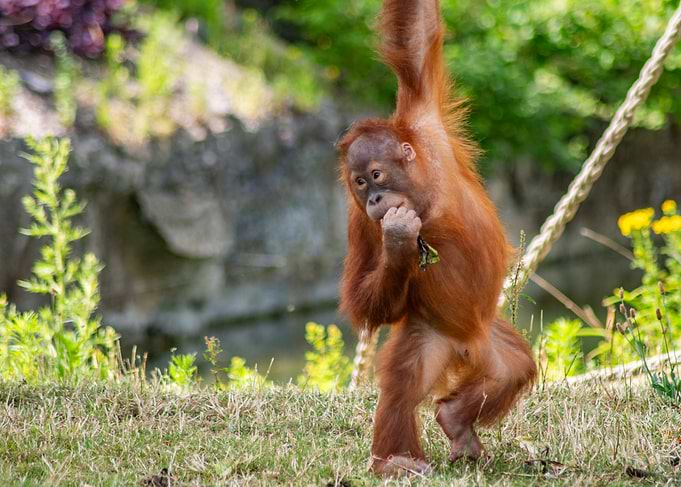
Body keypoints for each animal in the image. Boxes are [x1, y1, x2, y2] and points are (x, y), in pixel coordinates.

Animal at [336, 0, 537, 476]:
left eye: (375, 174)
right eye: (357, 183)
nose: (374, 198)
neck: (424, 196)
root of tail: (463, 346)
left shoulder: (425, 119)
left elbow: (416, 38)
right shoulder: (359, 223)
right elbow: (361, 299)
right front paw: (398, 240)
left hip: (486, 334)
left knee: (513, 369)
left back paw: (456, 421)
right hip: (426, 333)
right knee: (403, 385)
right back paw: (396, 460)